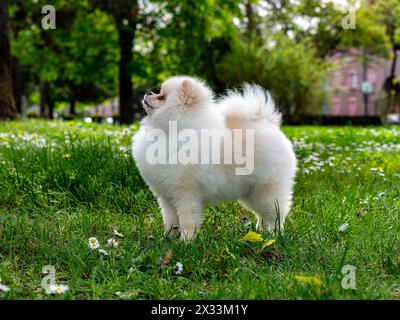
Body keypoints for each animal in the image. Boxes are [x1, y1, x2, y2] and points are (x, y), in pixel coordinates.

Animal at [133, 75, 296, 240]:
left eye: (162, 97)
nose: (148, 92)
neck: (169, 131)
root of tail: (270, 124)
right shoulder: (166, 197)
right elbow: (170, 221)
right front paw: (167, 238)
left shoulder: (186, 195)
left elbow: (187, 221)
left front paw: (186, 241)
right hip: (250, 193)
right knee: (263, 214)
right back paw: (261, 232)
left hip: (266, 189)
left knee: (275, 213)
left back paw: (274, 234)